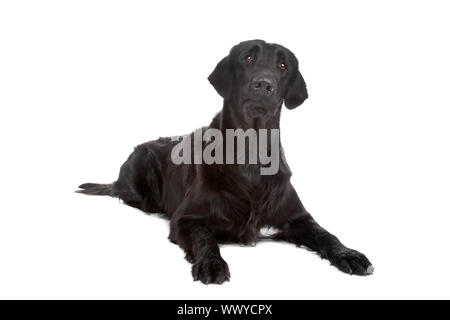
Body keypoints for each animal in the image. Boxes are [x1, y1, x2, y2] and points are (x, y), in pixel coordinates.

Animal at [79, 39, 374, 282]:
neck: (250, 153)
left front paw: (349, 254)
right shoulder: (185, 218)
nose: (264, 84)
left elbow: (326, 234)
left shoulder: (299, 217)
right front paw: (211, 264)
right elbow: (205, 238)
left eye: (282, 66)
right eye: (248, 59)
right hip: (141, 166)